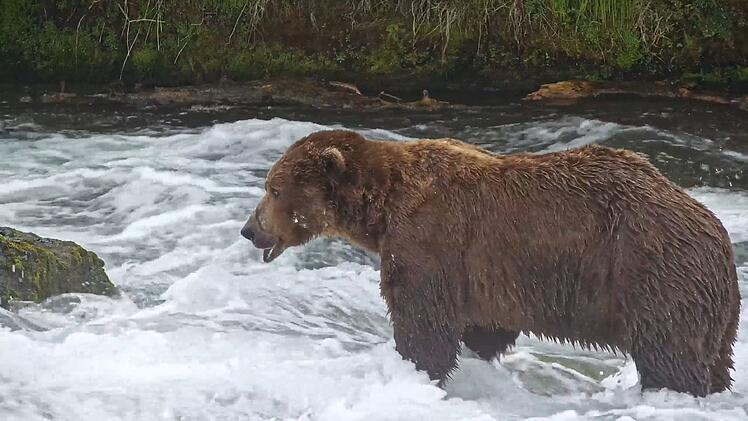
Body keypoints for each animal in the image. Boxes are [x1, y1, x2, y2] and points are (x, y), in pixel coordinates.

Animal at [240, 129, 740, 397]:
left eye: (273, 188)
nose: (249, 229)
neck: (381, 207)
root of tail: (718, 235)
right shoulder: (485, 273)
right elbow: (484, 324)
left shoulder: (430, 238)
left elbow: (424, 319)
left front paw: (414, 368)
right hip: (714, 308)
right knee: (714, 360)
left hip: (652, 273)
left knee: (669, 355)